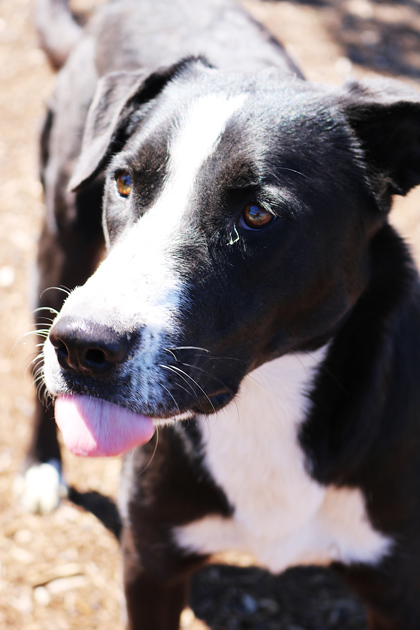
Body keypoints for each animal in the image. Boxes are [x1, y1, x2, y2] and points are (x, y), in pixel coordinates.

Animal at [24, 0, 420, 628]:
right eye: (124, 182)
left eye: (257, 214)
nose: (83, 347)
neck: (263, 400)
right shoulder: (150, 562)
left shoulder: (397, 585)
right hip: (61, 242)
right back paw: (42, 466)